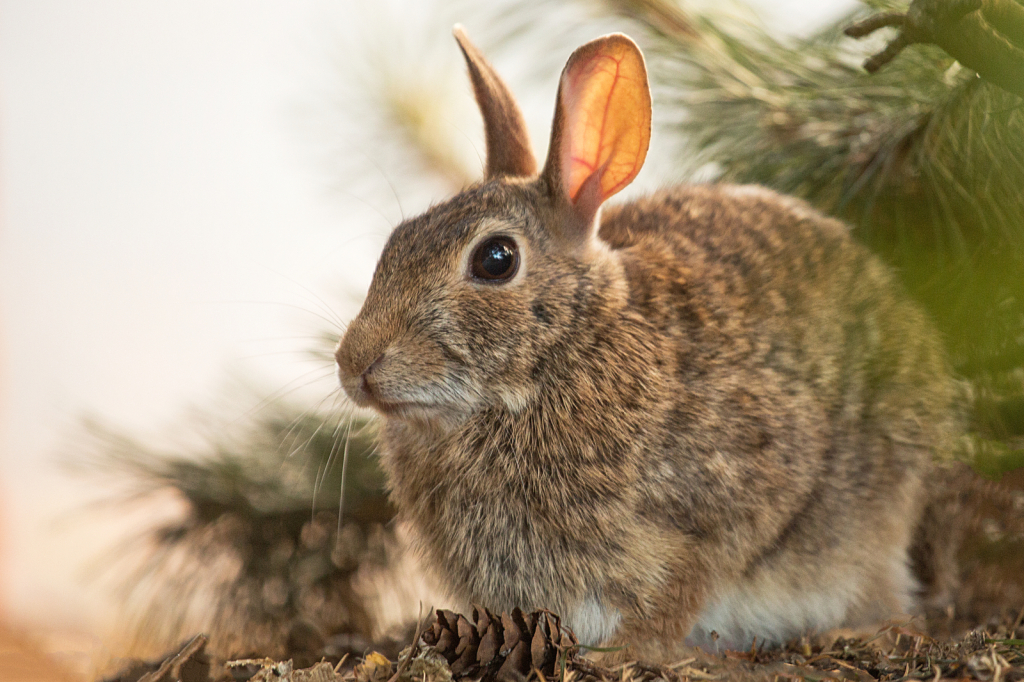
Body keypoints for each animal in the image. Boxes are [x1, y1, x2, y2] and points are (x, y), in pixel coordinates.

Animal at [333, 26, 958, 659]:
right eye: (395, 240)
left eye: (496, 259)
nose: (353, 363)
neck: (565, 351)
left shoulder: (732, 502)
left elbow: (687, 583)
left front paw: (627, 652)